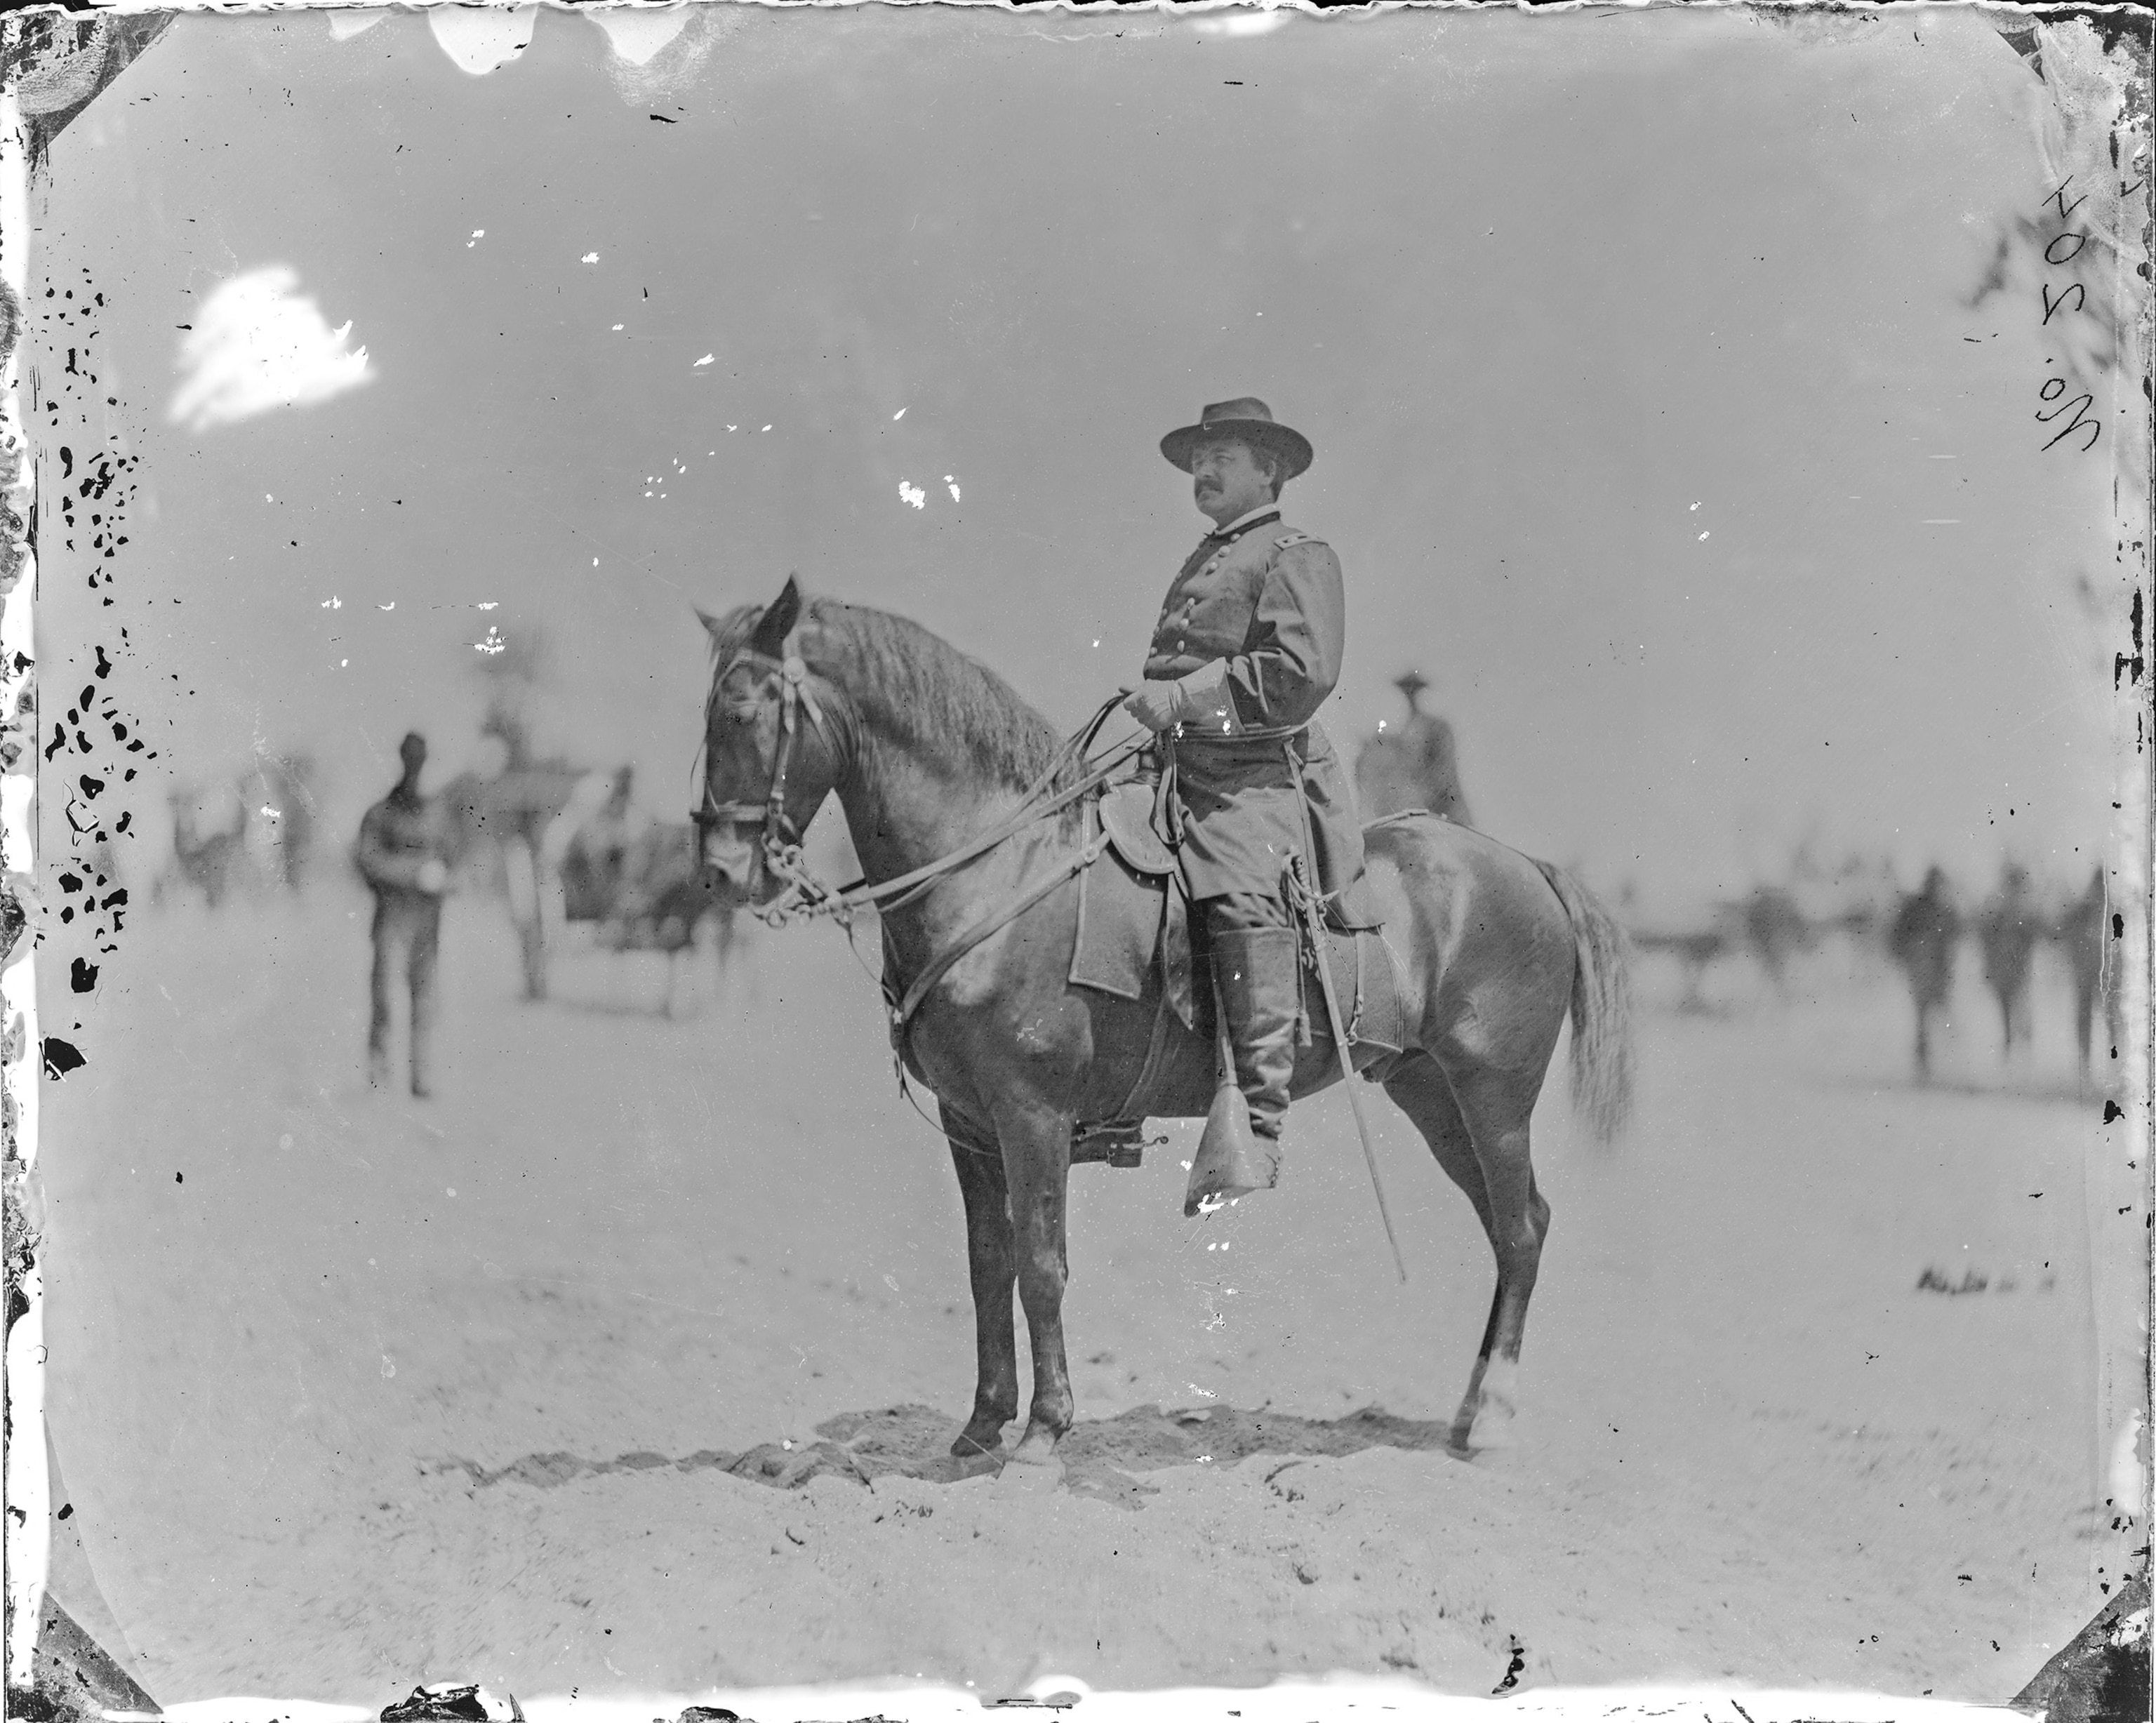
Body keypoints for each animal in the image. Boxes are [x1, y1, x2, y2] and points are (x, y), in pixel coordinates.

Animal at [694, 582, 1630, 1466]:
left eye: (740, 713)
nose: (720, 872)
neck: (1000, 875)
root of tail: (1524, 865)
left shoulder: (1032, 1115)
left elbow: (1040, 1266)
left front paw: (1043, 1433)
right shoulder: (970, 1124)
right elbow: (987, 1264)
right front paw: (982, 1426)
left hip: (1494, 1100)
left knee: (1521, 1228)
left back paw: (1495, 1421)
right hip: (1433, 1096)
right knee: (1512, 1227)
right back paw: (1469, 1414)